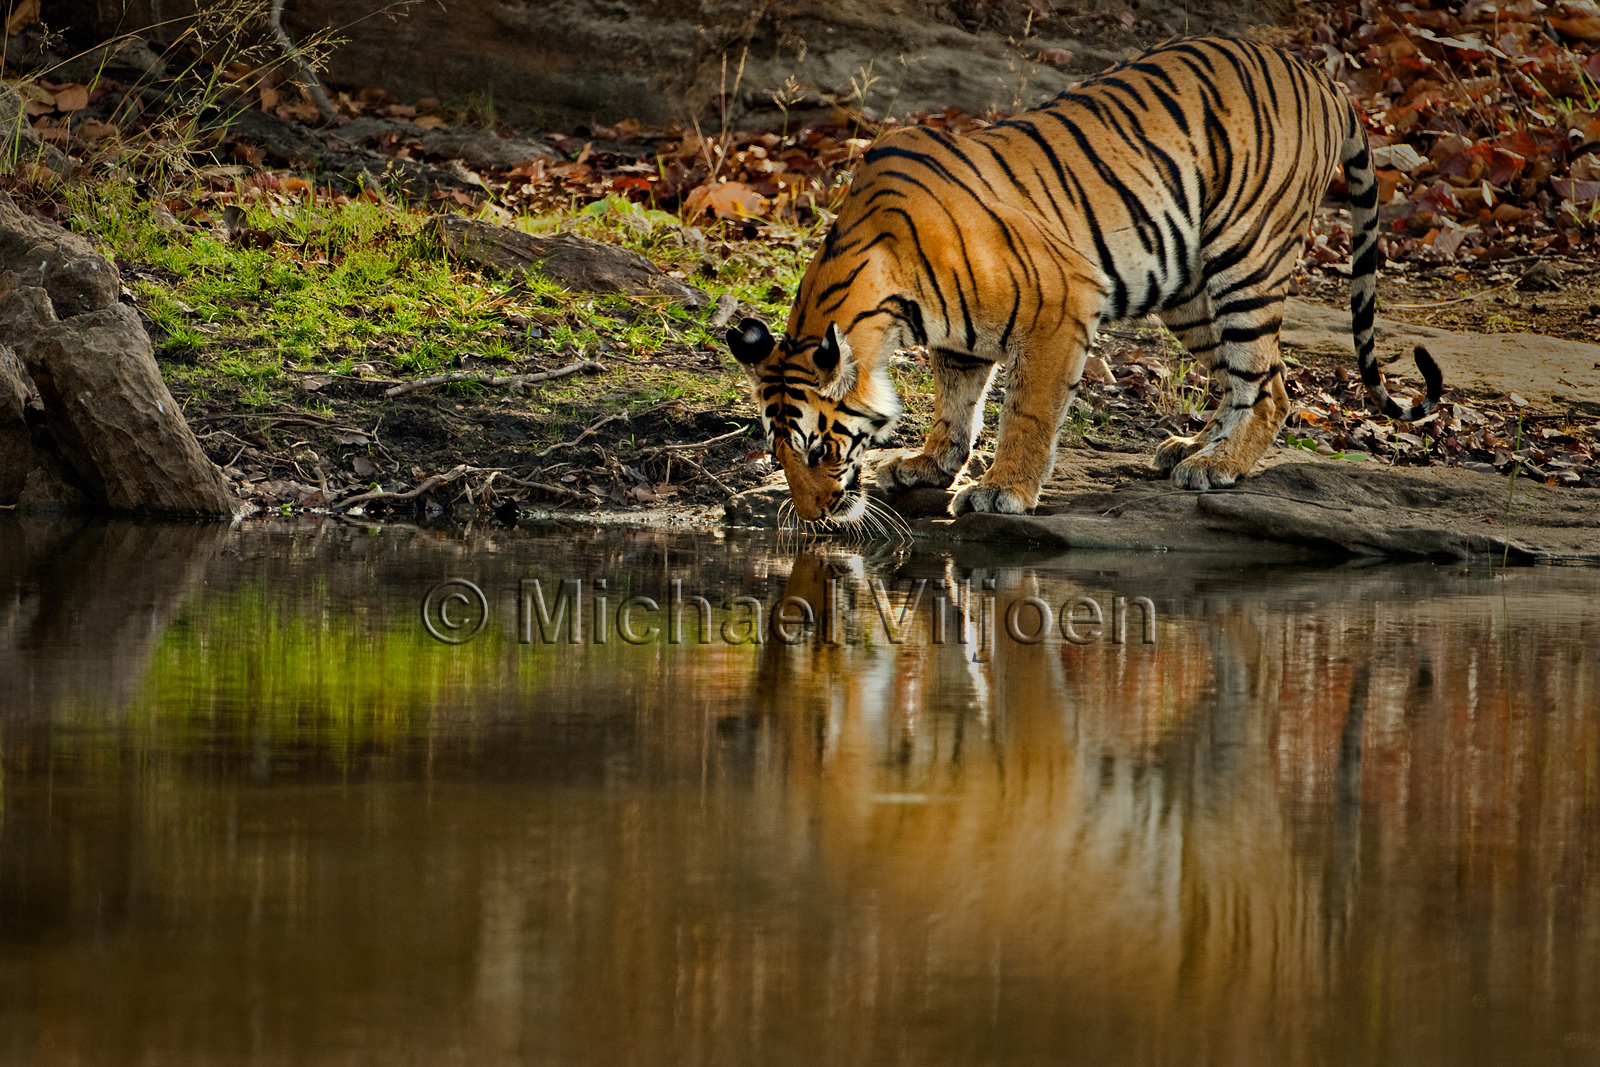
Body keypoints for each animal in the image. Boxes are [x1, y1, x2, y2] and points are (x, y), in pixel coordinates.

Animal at [725, 35, 1443, 523]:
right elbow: (957, 402)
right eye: (778, 454)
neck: (890, 298)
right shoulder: (959, 339)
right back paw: (1189, 448)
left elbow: (1029, 408)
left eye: (818, 449)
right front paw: (930, 463)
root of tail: (1322, 79)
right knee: (1256, 377)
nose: (814, 517)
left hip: (1247, 255)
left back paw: (1217, 467)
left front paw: (1001, 488)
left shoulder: (1061, 305)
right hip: (1190, 290)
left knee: (1267, 387)